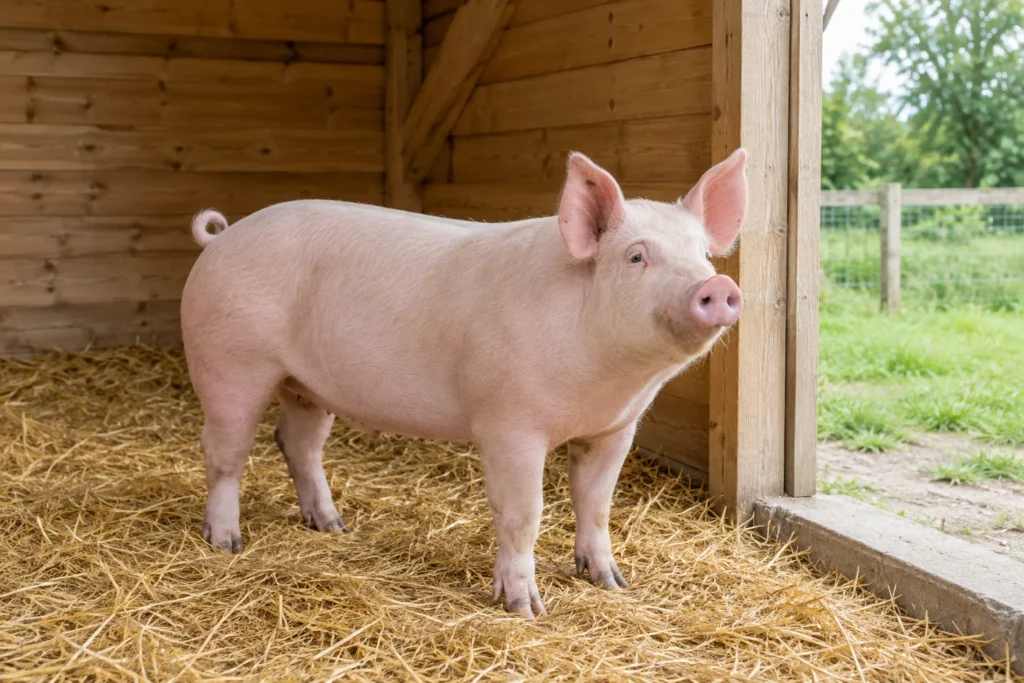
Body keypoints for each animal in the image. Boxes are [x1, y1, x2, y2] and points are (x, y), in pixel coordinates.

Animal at [179, 148, 748, 618]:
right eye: (636, 257)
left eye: (703, 256)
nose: (718, 285)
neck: (607, 382)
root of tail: (222, 236)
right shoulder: (508, 422)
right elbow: (523, 513)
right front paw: (525, 609)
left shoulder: (614, 429)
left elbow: (597, 504)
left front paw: (612, 583)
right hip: (230, 361)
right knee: (224, 450)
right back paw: (227, 543)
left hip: (307, 385)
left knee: (297, 442)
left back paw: (333, 526)